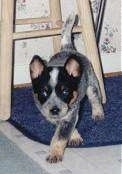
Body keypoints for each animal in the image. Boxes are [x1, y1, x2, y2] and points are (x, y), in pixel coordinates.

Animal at [29, 13, 104, 163]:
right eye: (44, 92)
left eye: (65, 91)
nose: (54, 109)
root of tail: (67, 48)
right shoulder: (51, 115)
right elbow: (65, 127)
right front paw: (74, 136)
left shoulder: (70, 112)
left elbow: (60, 136)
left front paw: (55, 154)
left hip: (92, 84)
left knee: (95, 99)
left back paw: (98, 113)